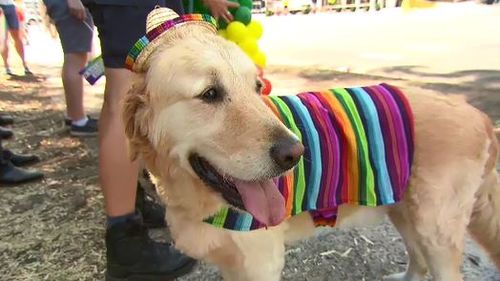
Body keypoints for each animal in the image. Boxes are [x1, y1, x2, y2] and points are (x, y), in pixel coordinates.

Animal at [122, 7, 500, 280]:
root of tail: (479, 114)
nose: (296, 153)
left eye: (257, 87)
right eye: (210, 94)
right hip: (406, 213)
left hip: (435, 232)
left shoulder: (260, 265)